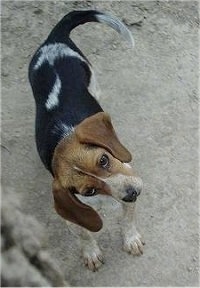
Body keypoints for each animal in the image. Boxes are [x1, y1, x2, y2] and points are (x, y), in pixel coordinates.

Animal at [28, 10, 144, 272]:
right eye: (89, 191)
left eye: (103, 160)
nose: (132, 193)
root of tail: (54, 38)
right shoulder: (74, 216)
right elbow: (84, 234)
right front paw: (91, 252)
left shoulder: (127, 173)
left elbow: (128, 220)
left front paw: (131, 239)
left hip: (93, 82)